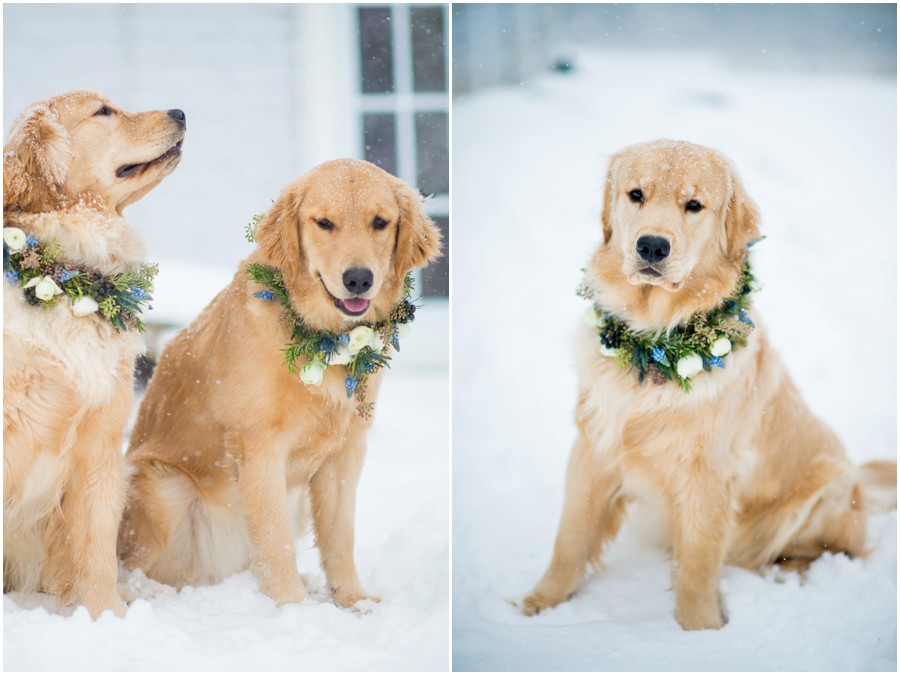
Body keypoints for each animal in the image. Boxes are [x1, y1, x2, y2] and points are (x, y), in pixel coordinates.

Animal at [118, 158, 442, 608]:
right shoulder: (258, 446)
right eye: (324, 223)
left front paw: (353, 601)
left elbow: (340, 536)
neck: (323, 341)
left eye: (380, 222)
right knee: (133, 564)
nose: (359, 279)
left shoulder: (346, 450)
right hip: (163, 485)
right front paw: (293, 608)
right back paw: (141, 591)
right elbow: (274, 540)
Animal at [524, 140, 896, 632]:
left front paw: (701, 630)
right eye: (635, 194)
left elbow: (699, 562)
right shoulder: (593, 446)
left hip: (826, 491)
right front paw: (541, 603)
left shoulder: (709, 473)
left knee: (828, 550)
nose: (652, 246)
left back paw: (786, 576)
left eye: (694, 205)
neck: (654, 344)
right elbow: (570, 537)